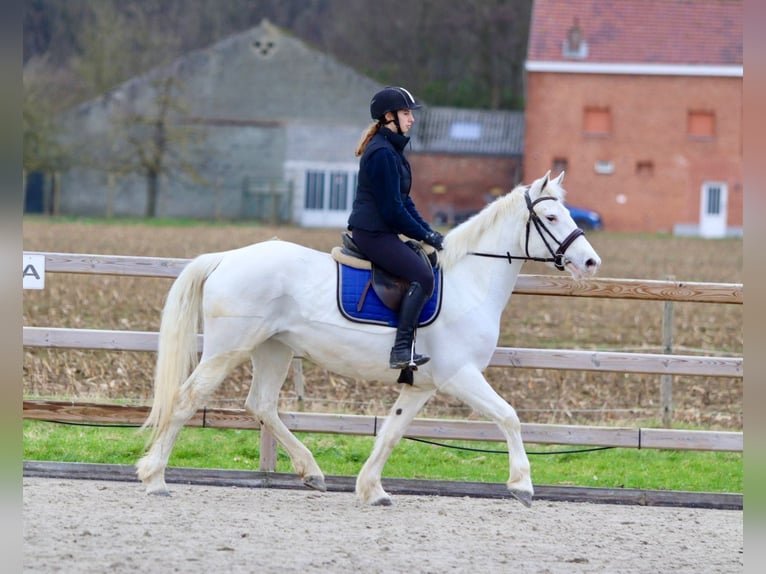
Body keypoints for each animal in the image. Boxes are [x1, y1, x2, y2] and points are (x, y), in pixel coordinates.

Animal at [141, 171, 604, 508]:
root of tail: (224, 259)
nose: (590, 262)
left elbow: (392, 433)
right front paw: (522, 485)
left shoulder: (422, 385)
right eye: (551, 218)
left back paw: (312, 472)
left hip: (273, 349)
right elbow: (509, 416)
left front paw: (372, 490)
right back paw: (155, 478)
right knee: (186, 400)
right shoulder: (461, 375)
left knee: (262, 405)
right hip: (227, 349)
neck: (470, 281)